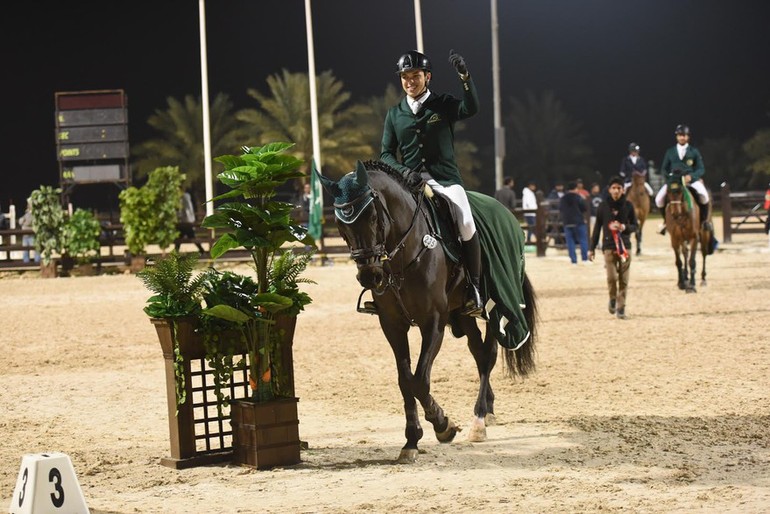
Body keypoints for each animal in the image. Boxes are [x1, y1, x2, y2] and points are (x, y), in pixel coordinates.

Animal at [316, 161, 536, 464]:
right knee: (478, 354)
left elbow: (420, 380)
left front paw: (443, 425)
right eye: (340, 224)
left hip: (496, 305)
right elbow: (405, 380)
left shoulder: (433, 322)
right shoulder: (392, 325)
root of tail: (508, 215)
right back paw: (487, 412)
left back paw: (479, 420)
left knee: (488, 356)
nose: (370, 276)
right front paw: (411, 440)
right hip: (463, 315)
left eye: (372, 217)